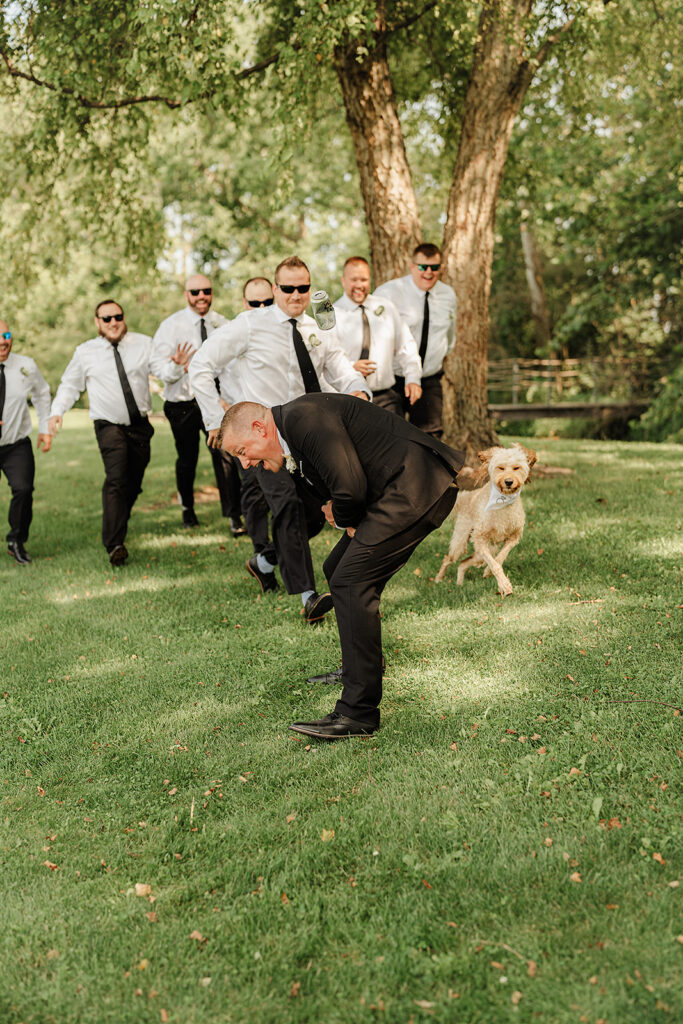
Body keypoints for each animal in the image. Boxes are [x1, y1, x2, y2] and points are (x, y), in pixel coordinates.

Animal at [436, 444, 536, 598]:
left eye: (516, 468)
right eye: (501, 468)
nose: (508, 482)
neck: (503, 502)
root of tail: (467, 496)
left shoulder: (513, 537)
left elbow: (500, 558)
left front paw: (489, 572)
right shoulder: (480, 540)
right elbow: (494, 564)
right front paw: (505, 586)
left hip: (484, 552)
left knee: (463, 563)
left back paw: (459, 584)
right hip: (461, 542)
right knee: (449, 558)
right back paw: (438, 579)